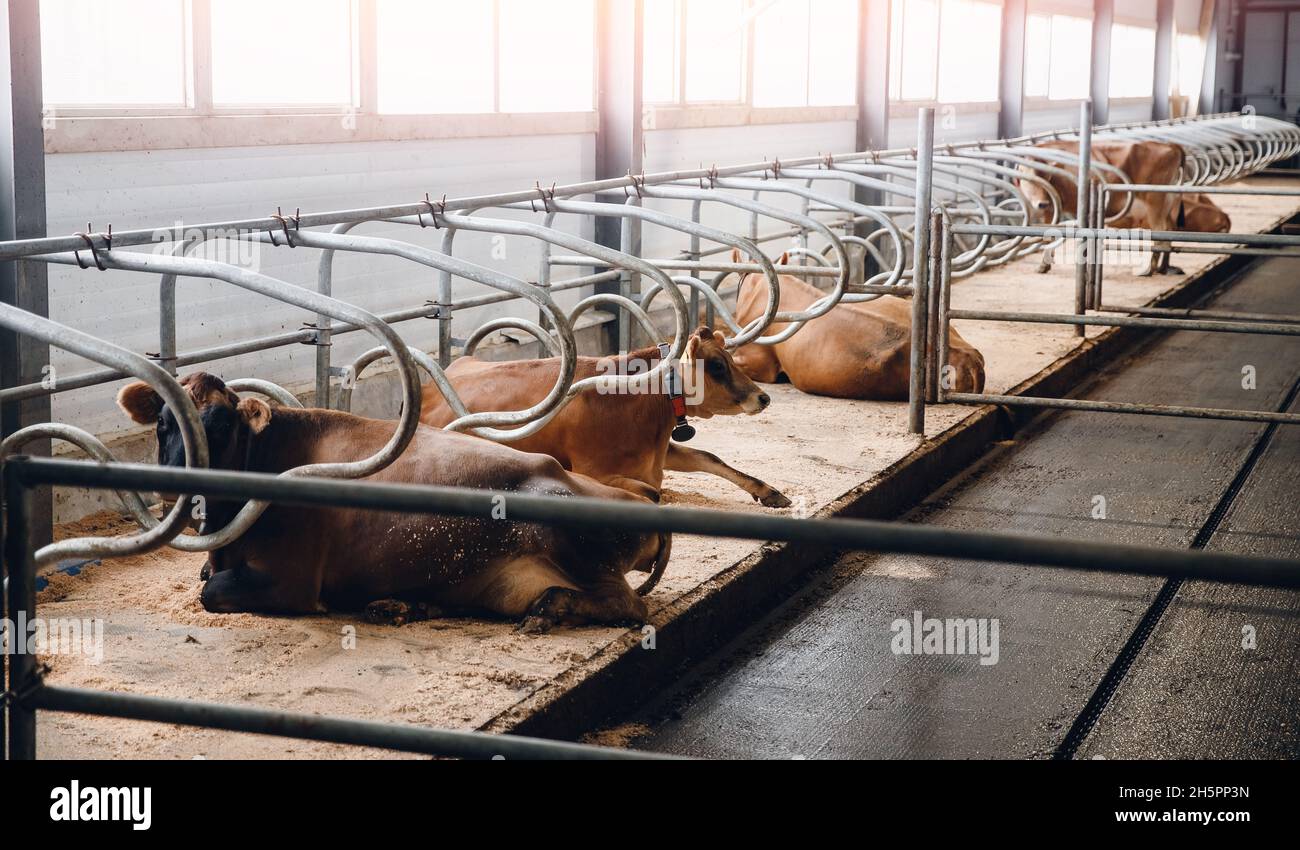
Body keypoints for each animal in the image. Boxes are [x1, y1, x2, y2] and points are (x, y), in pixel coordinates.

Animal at [114, 374, 670, 631]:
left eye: (221, 425)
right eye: (162, 422)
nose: (172, 480)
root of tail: (640, 497)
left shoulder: (290, 581)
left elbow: (211, 591)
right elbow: (206, 577)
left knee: (629, 604)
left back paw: (551, 608)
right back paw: (403, 604)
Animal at [1013, 138, 1190, 274]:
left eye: (1046, 177)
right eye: (1028, 179)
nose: (1042, 203)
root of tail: (1171, 145)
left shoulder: (1054, 207)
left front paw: (1044, 265)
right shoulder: (1052, 209)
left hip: (1155, 202)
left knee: (1160, 233)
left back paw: (1149, 269)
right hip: (1169, 205)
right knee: (1170, 231)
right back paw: (1163, 268)